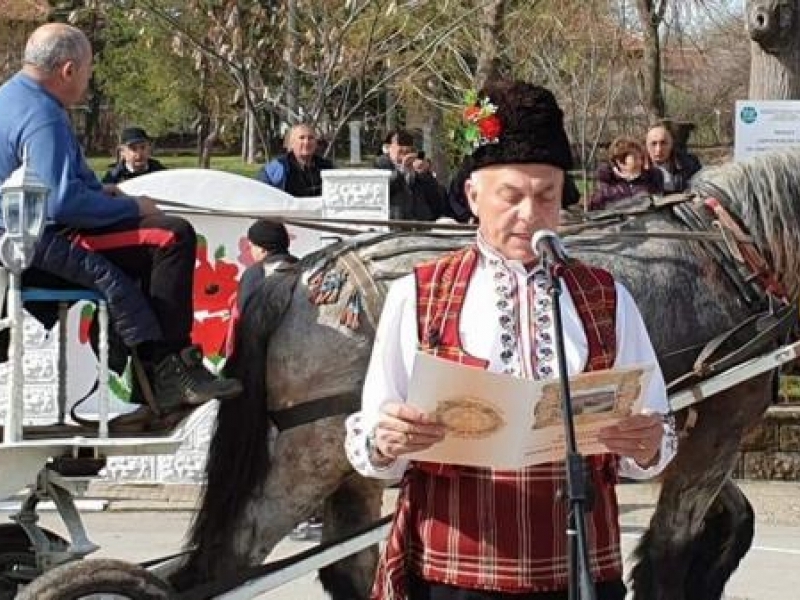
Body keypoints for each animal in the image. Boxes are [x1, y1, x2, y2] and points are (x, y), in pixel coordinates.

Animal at [170, 151, 800, 600]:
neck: (734, 250)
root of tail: (299, 277)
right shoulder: (723, 419)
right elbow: (672, 547)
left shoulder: (680, 422)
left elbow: (734, 519)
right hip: (310, 456)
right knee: (234, 555)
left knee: (348, 565)